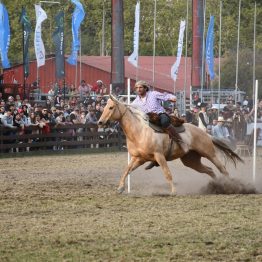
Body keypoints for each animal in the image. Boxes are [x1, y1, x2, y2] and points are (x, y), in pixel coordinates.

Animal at [98, 95, 244, 193]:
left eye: (111, 107)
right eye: (104, 107)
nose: (100, 122)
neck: (139, 132)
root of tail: (205, 133)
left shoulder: (159, 156)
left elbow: (167, 173)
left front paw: (174, 191)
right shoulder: (138, 158)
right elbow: (127, 170)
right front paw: (120, 187)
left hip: (209, 153)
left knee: (222, 169)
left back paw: (230, 186)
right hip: (191, 160)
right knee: (210, 170)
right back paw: (217, 186)